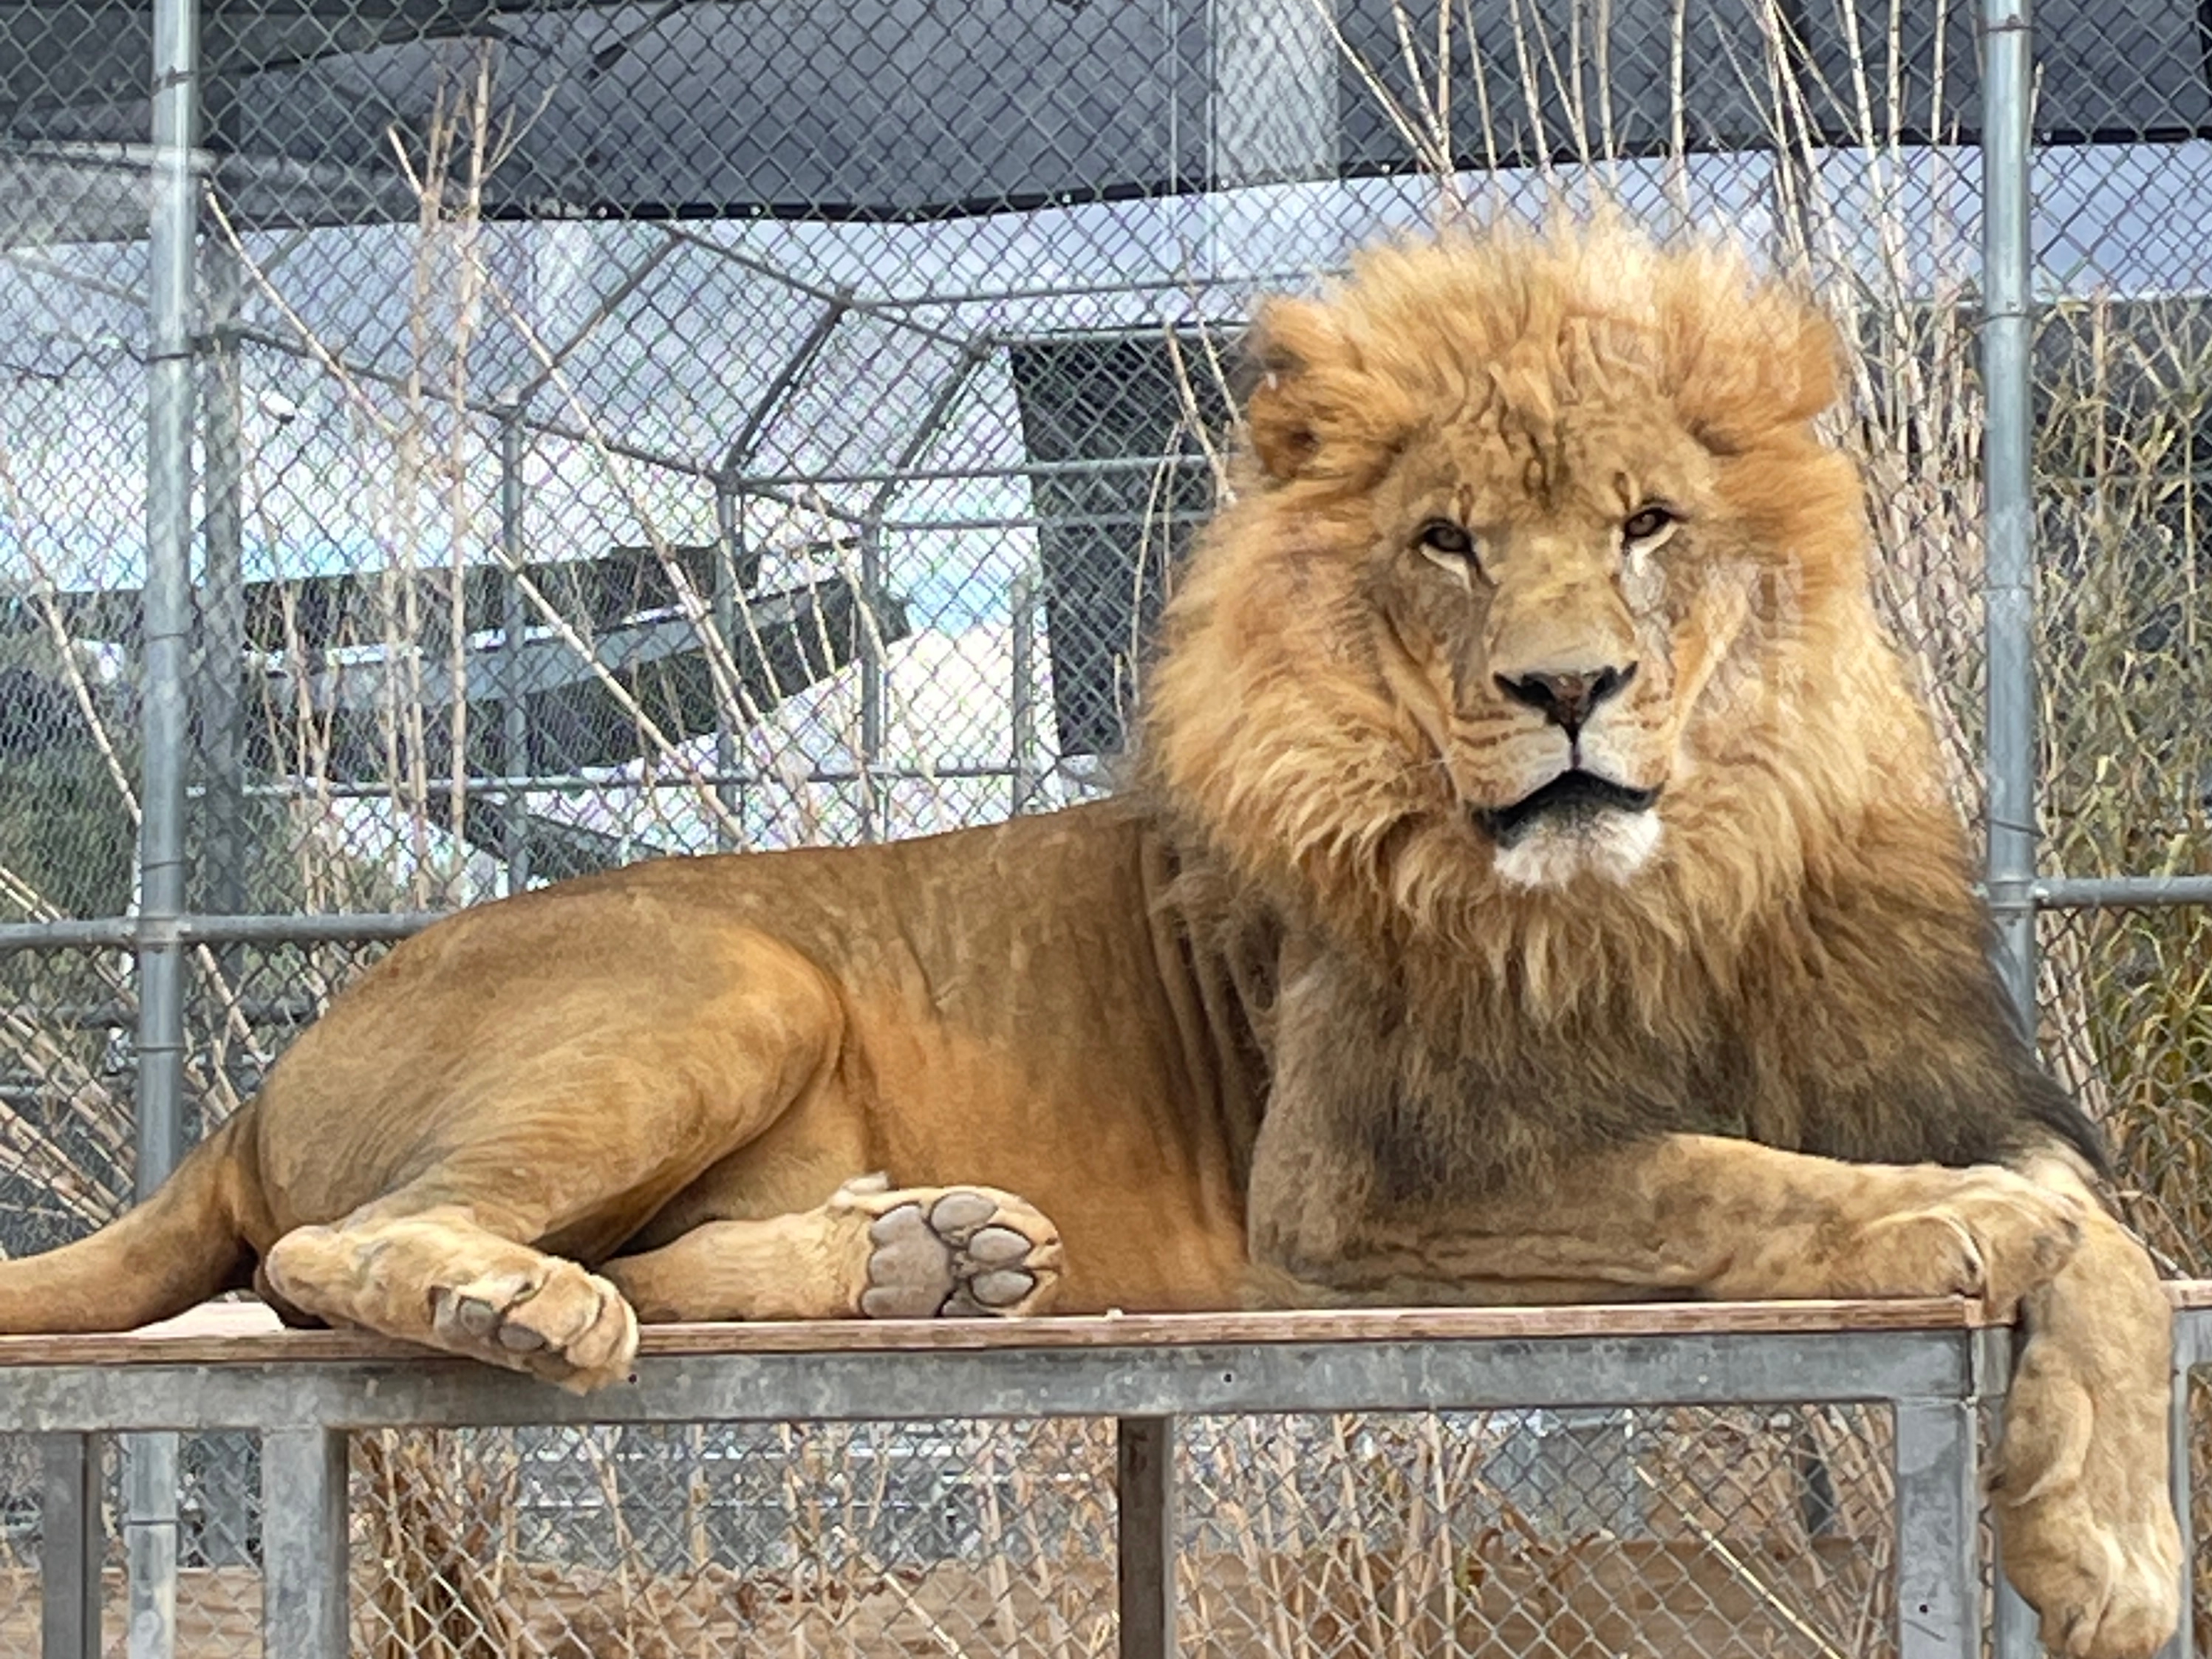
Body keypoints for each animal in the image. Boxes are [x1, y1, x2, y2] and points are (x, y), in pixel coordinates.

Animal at [0, 224, 2178, 1656]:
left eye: (1649, 520)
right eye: (1447, 540)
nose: (1565, 687)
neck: (1673, 880)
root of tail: (262, 1080)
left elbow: (2110, 1235)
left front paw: (2113, 1539)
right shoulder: (1360, 1186)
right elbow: (1744, 1178)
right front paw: (1973, 1256)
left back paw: (916, 1256)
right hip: (724, 975)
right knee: (337, 1255)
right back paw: (524, 1298)